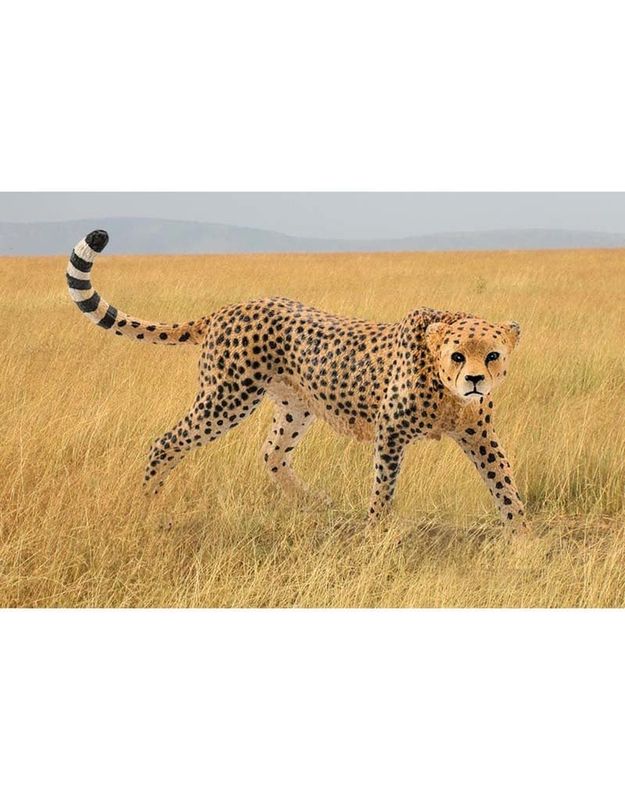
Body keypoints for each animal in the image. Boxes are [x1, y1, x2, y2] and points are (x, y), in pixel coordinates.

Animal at [66, 230, 528, 534]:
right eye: (457, 355)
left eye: (492, 355)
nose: (474, 380)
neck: (446, 390)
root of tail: (231, 307)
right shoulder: (391, 432)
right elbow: (384, 488)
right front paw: (376, 533)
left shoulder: (479, 434)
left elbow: (504, 483)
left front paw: (523, 537)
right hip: (227, 397)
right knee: (167, 441)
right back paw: (149, 502)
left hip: (294, 405)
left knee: (272, 453)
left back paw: (314, 501)